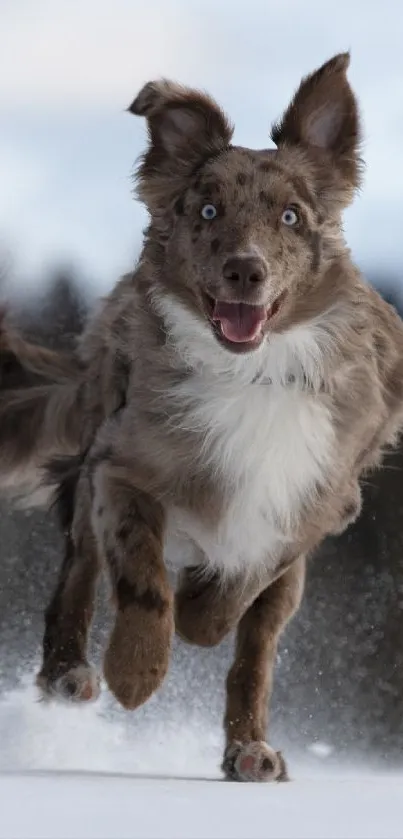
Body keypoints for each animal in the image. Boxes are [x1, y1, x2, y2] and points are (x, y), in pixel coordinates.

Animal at [0, 55, 403, 784]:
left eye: (291, 216)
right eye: (208, 209)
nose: (245, 270)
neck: (254, 371)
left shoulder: (312, 505)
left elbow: (237, 595)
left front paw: (201, 611)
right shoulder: (120, 468)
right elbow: (140, 578)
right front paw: (135, 672)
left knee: (255, 656)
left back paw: (250, 749)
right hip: (90, 466)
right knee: (78, 575)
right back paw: (69, 673)